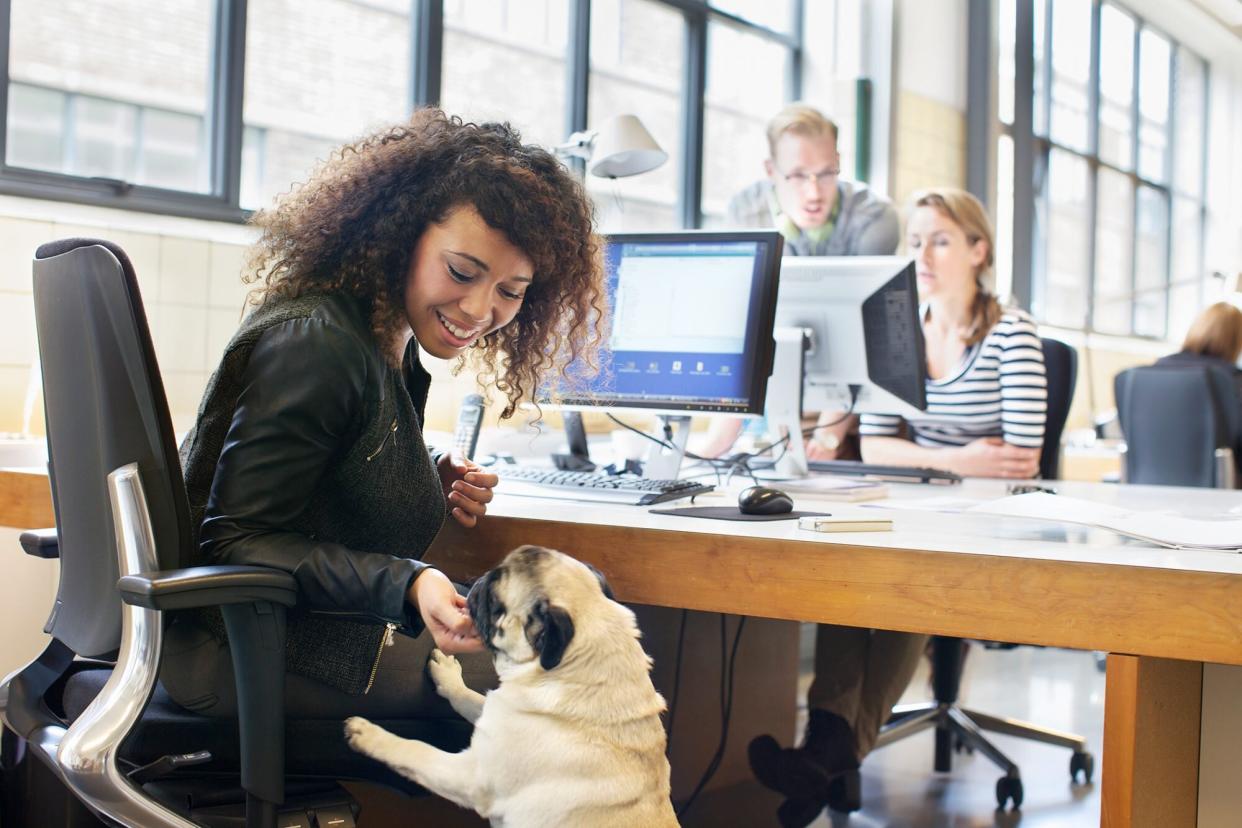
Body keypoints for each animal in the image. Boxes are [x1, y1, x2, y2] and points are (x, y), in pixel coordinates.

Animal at [342, 546, 680, 824]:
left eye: (495, 600)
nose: (479, 581)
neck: (575, 671)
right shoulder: (499, 712)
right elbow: (468, 698)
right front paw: (449, 677)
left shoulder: (470, 776)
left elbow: (416, 751)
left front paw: (370, 735)